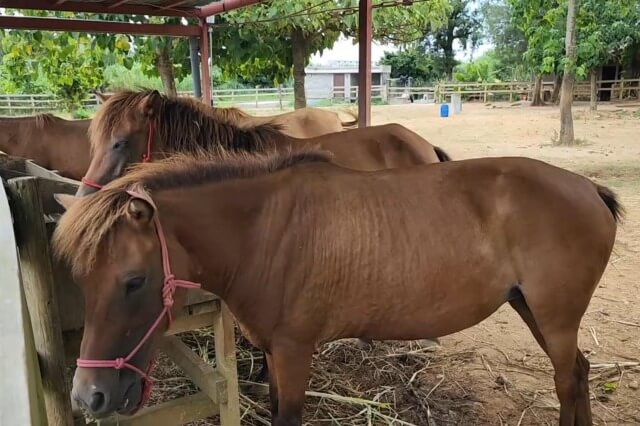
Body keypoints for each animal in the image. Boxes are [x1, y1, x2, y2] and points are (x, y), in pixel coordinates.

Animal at [53, 150, 620, 422]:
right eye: (78, 279)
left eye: (134, 280)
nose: (88, 396)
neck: (265, 230)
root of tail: (588, 187)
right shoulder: (274, 354)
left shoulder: (295, 351)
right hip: (533, 310)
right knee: (579, 374)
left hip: (555, 318)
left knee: (567, 381)